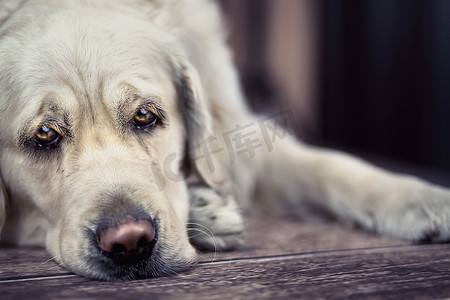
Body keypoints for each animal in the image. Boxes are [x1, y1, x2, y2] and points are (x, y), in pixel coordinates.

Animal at [0, 0, 450, 282]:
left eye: (145, 116)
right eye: (44, 135)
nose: (130, 242)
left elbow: (332, 166)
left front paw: (422, 199)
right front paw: (206, 209)